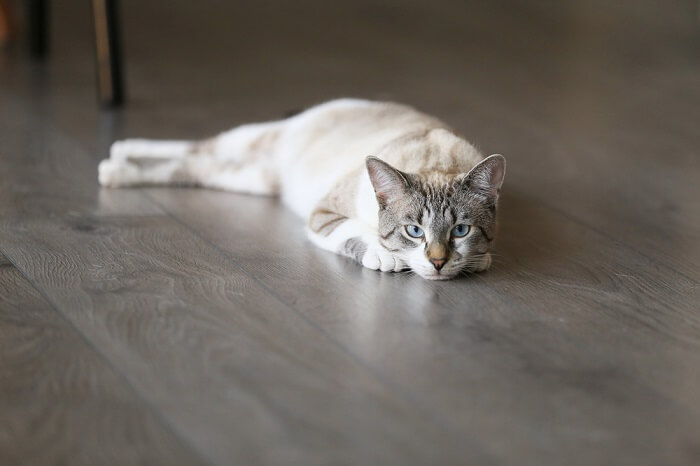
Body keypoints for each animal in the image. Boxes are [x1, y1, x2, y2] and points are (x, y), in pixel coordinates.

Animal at [98, 97, 506, 280]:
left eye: (460, 231)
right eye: (414, 231)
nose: (437, 262)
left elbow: (480, 257)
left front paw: (473, 260)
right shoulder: (322, 215)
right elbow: (358, 233)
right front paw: (386, 257)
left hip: (254, 180)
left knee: (190, 165)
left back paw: (118, 168)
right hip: (252, 141)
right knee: (197, 146)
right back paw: (116, 156)